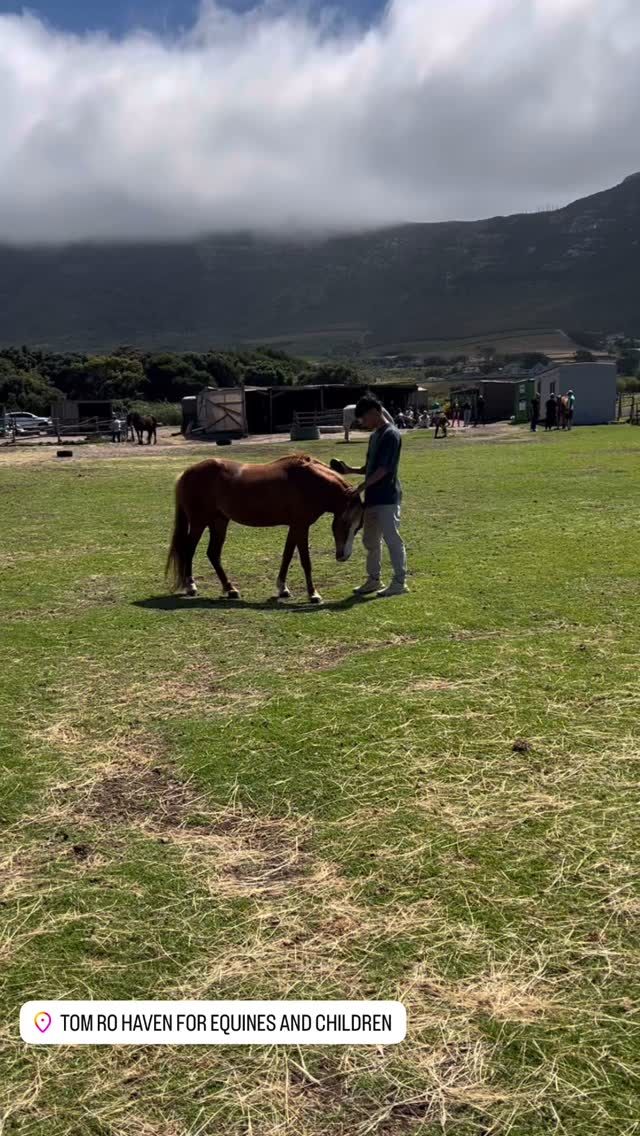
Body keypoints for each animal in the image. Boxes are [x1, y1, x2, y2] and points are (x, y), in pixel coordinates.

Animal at [166, 454, 364, 604]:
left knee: (213, 553)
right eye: (345, 522)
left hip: (219, 522)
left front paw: (283, 588)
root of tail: (187, 473)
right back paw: (191, 586)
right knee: (189, 550)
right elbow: (305, 561)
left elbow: (287, 556)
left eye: (359, 526)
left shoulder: (294, 526)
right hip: (199, 523)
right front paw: (313, 594)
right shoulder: (301, 526)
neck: (309, 482)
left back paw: (230, 589)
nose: (343, 556)